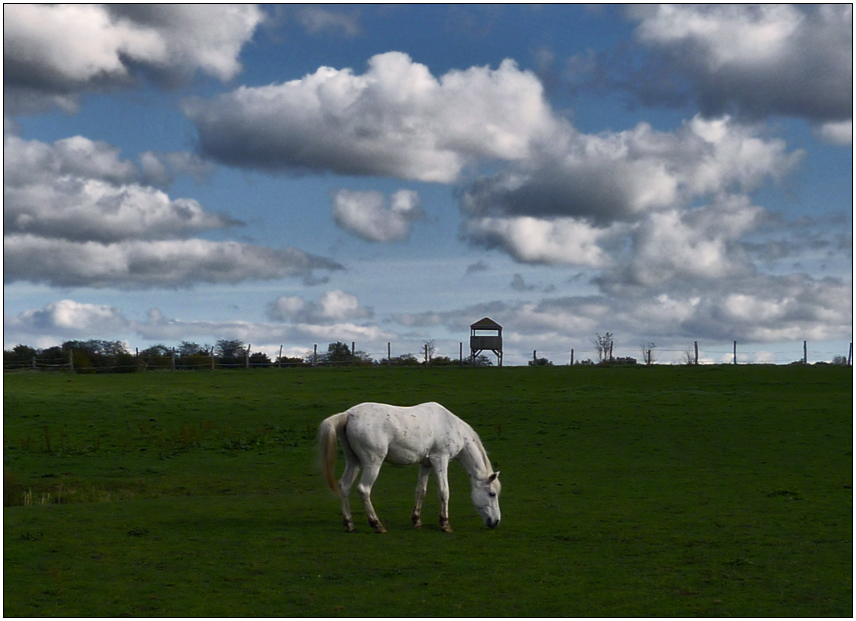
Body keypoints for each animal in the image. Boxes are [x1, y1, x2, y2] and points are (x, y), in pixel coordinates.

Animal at [318, 402, 498, 532]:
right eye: (492, 494)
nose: (496, 521)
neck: (451, 425)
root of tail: (348, 414)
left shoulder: (426, 464)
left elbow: (421, 490)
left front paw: (417, 520)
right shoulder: (440, 459)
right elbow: (444, 491)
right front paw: (445, 524)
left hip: (354, 462)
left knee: (344, 486)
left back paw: (349, 524)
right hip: (372, 463)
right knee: (363, 489)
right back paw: (377, 525)